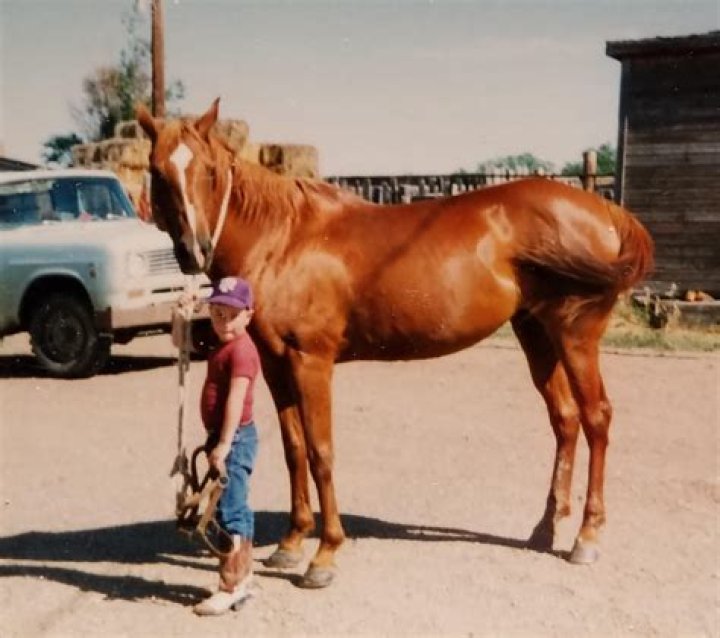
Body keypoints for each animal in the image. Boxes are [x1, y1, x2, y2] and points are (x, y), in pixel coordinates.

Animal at [136, 98, 654, 589]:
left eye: (207, 170)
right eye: (157, 171)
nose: (194, 251)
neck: (283, 239)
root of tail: (606, 212)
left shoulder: (311, 362)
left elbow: (322, 452)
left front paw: (325, 555)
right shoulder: (274, 363)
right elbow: (293, 449)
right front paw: (291, 542)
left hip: (576, 336)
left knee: (596, 419)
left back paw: (586, 536)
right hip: (537, 334)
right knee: (565, 421)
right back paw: (546, 528)